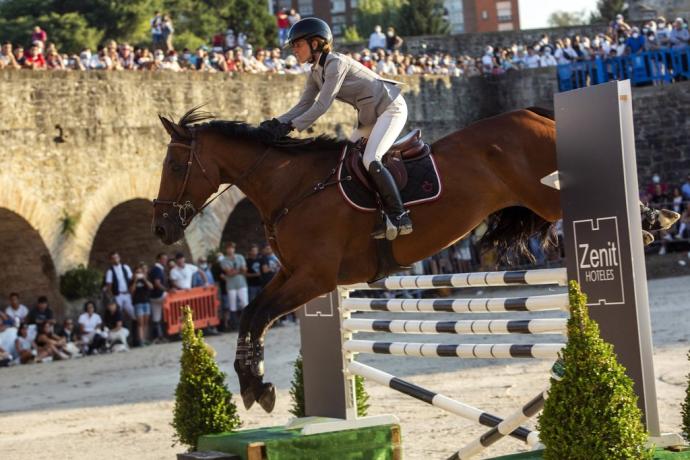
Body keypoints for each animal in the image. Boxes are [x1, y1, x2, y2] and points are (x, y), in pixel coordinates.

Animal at [152, 107, 676, 414]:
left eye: (174, 165)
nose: (161, 230)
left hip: (546, 196)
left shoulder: (314, 276)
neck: (293, 187)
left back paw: (654, 219)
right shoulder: (292, 273)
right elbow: (248, 314)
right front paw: (251, 382)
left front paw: (255, 384)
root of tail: (535, 113)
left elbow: (258, 314)